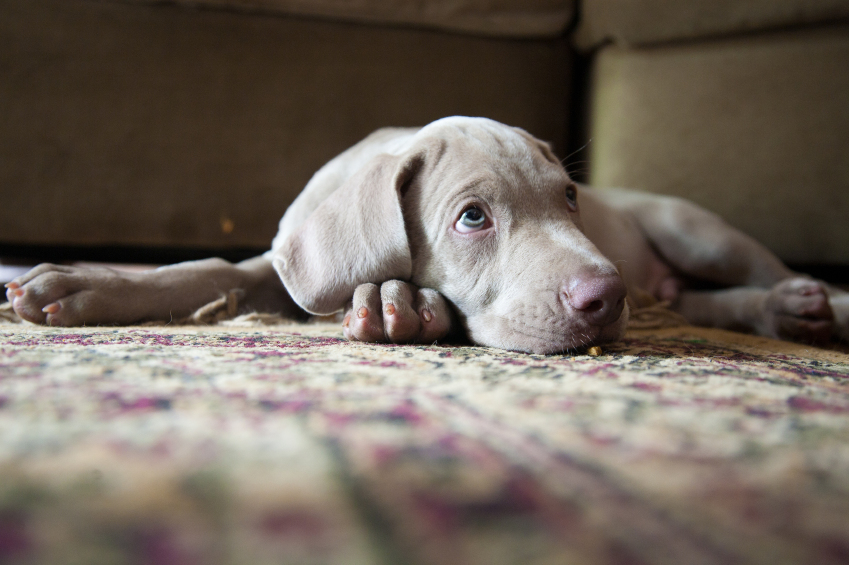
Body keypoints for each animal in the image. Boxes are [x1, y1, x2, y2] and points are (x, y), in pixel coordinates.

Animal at [6, 116, 848, 350]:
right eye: (473, 216)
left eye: (570, 198)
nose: (605, 298)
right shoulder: (282, 263)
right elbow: (213, 268)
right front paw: (80, 282)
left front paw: (400, 303)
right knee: (697, 301)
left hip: (695, 231)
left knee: (755, 271)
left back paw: (811, 305)